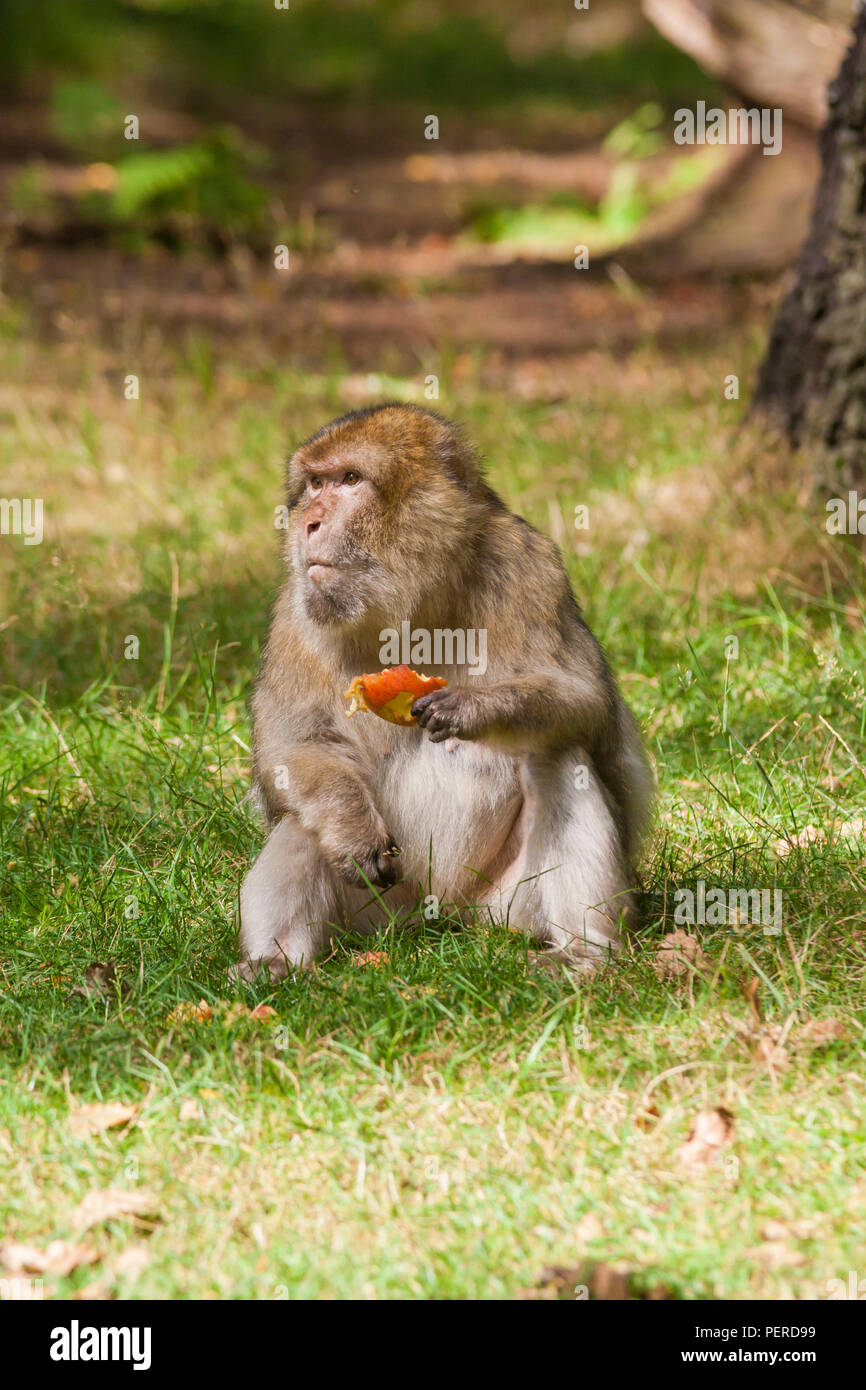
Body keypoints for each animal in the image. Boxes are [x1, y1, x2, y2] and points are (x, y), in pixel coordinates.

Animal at [236, 403, 652, 981]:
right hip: (376, 912)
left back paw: (583, 950)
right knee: (305, 814)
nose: (308, 522)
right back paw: (276, 961)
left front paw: (475, 707)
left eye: (349, 479)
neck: (416, 603)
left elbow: (586, 701)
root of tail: (440, 918)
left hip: (506, 905)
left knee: (558, 754)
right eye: (315, 483)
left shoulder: (530, 565)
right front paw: (350, 825)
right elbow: (292, 749)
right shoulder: (294, 613)